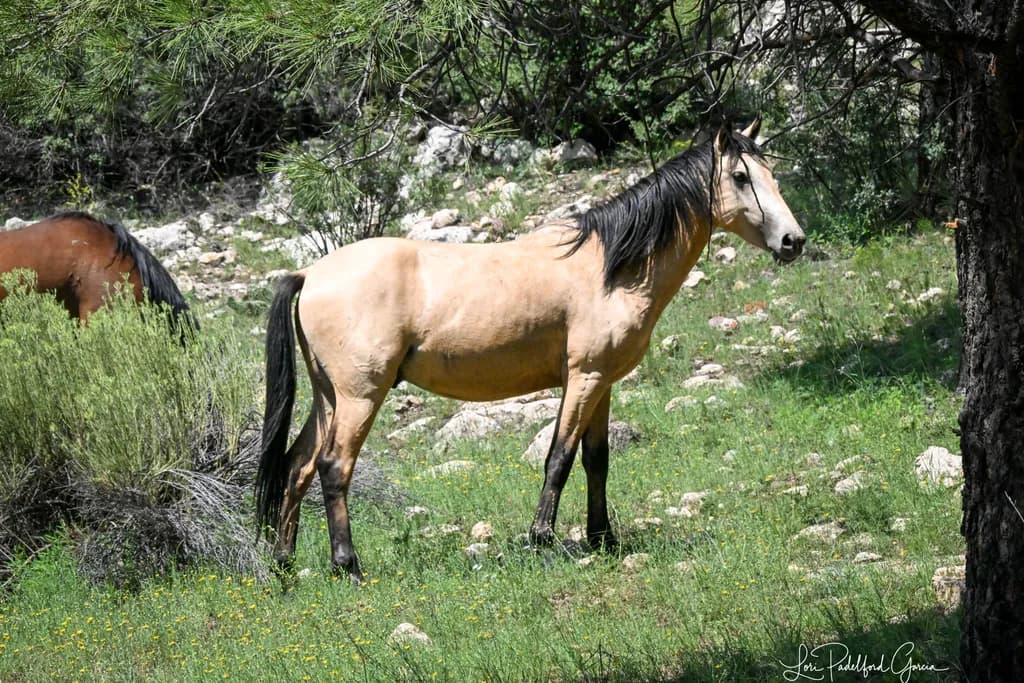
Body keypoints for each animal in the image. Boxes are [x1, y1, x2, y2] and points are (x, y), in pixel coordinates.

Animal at [255, 119, 805, 582]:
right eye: (740, 175)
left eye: (770, 173)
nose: (793, 240)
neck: (610, 266)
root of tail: (310, 274)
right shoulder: (583, 378)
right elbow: (559, 457)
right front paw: (542, 537)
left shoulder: (602, 384)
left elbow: (597, 460)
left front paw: (603, 539)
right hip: (359, 397)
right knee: (333, 468)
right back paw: (347, 566)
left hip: (329, 398)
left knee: (297, 465)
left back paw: (284, 564)